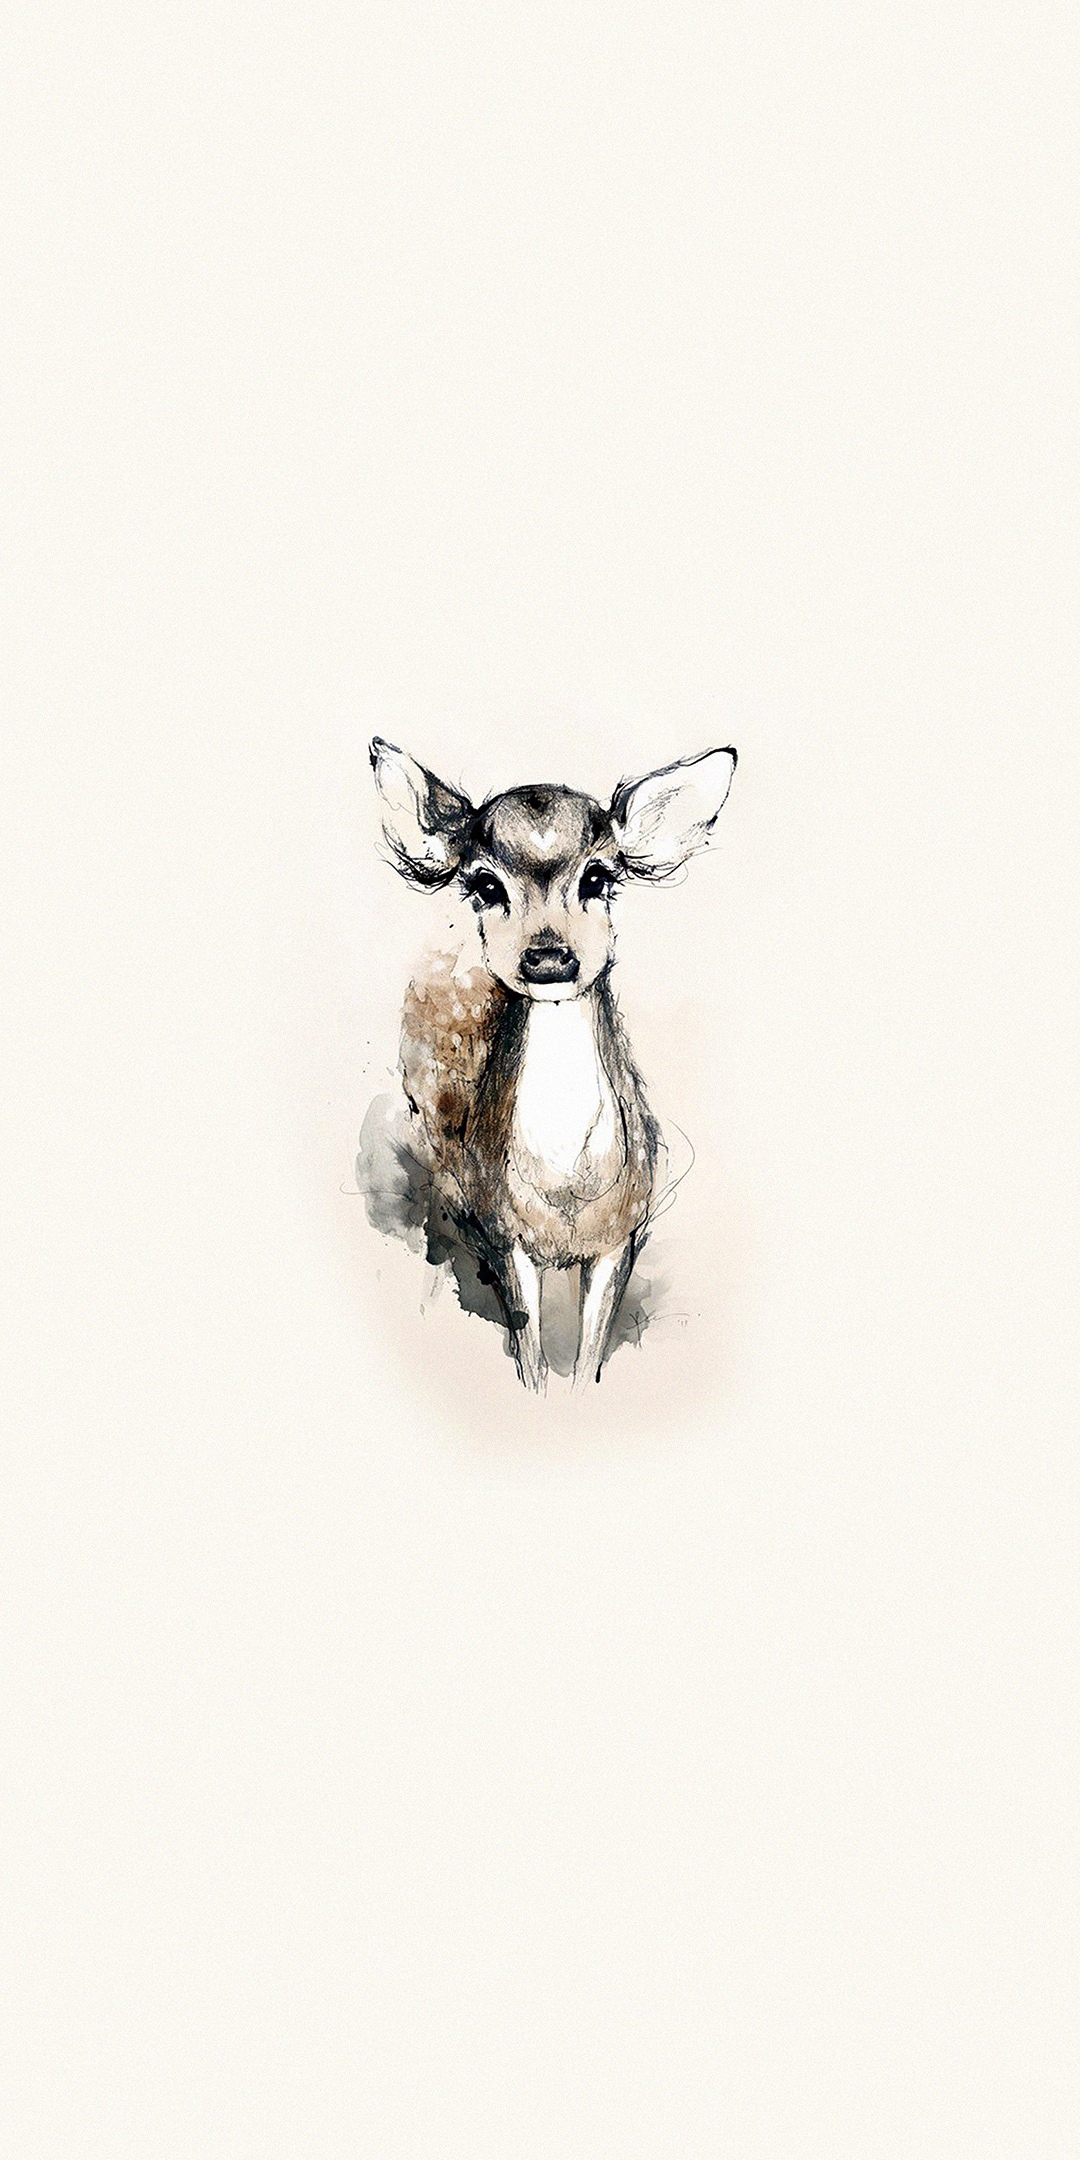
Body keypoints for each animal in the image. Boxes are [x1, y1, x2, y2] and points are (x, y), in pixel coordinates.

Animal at [368, 737, 737, 1388]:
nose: (548, 958)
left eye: (599, 875)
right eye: (485, 884)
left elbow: (589, 1357)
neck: (566, 1188)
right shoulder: (505, 1235)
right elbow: (532, 1358)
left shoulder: (621, 1235)